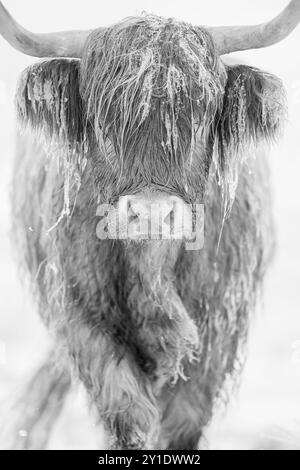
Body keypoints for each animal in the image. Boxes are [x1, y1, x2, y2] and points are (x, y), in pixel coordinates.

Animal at [1, 0, 298, 450]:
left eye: (203, 111)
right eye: (102, 117)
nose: (153, 213)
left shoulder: (220, 334)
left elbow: (183, 422)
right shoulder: (80, 316)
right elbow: (128, 415)